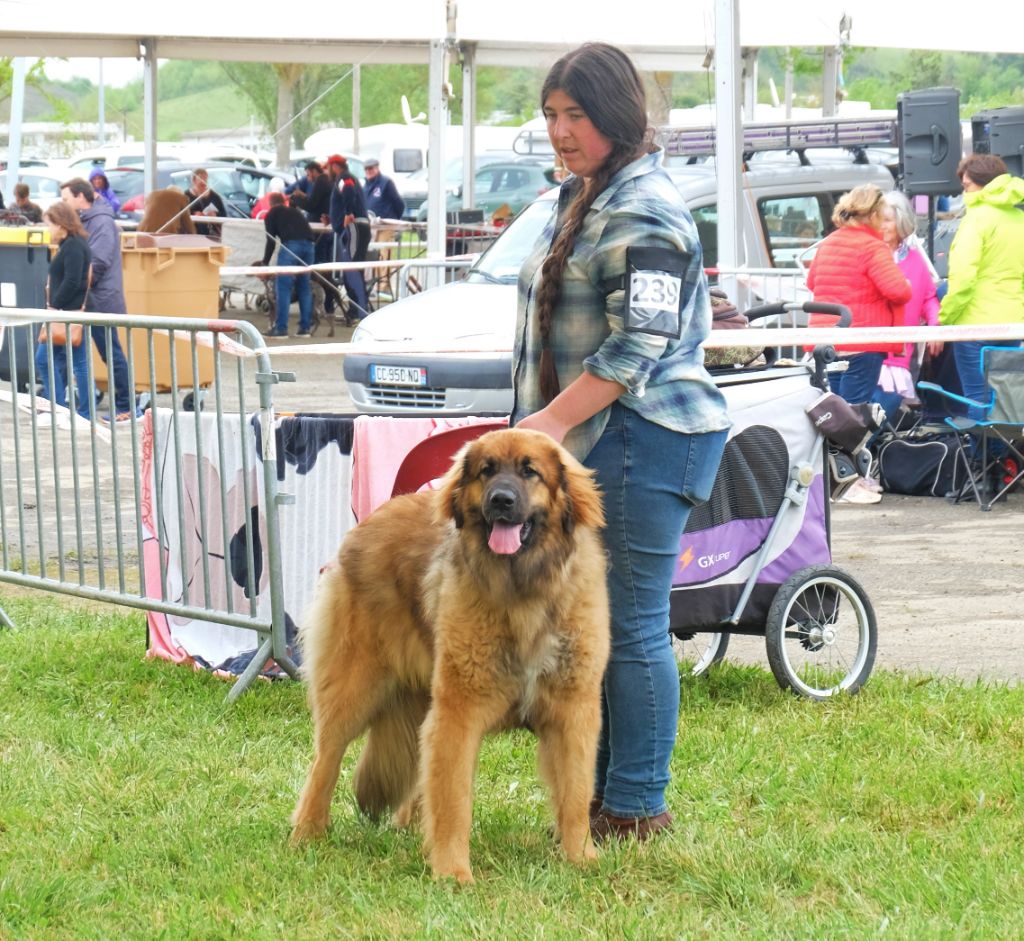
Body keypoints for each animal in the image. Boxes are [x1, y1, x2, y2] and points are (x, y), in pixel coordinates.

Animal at [288, 425, 606, 884]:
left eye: (530, 471)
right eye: (486, 471)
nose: (501, 500)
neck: (522, 592)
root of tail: (369, 520)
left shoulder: (573, 710)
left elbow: (577, 792)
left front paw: (581, 857)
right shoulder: (459, 711)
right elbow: (454, 800)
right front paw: (453, 872)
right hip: (354, 687)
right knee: (324, 761)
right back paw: (306, 833)